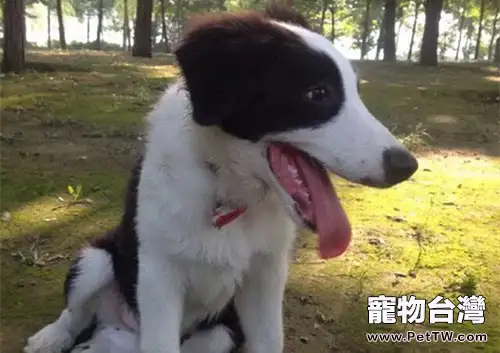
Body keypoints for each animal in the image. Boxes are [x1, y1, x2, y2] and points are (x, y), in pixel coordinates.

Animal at [25, 4, 420, 352]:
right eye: (318, 93)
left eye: (355, 91)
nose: (407, 166)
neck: (229, 191)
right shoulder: (158, 274)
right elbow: (158, 342)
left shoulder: (265, 275)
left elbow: (269, 342)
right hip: (95, 258)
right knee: (76, 312)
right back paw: (50, 338)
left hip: (220, 332)